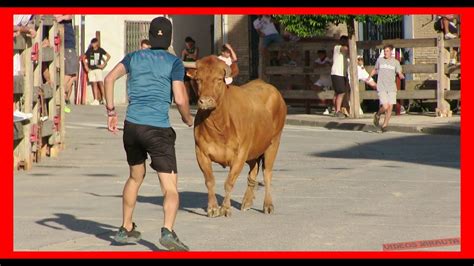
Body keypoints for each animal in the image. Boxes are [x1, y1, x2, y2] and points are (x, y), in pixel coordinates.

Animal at [188, 55, 286, 217]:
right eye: (198, 79)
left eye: (219, 79)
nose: (205, 101)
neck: (219, 126)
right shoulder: (200, 152)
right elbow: (210, 180)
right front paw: (213, 208)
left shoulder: (240, 154)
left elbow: (229, 182)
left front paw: (225, 208)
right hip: (254, 150)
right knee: (253, 172)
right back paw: (247, 202)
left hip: (273, 143)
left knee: (267, 173)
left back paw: (268, 205)